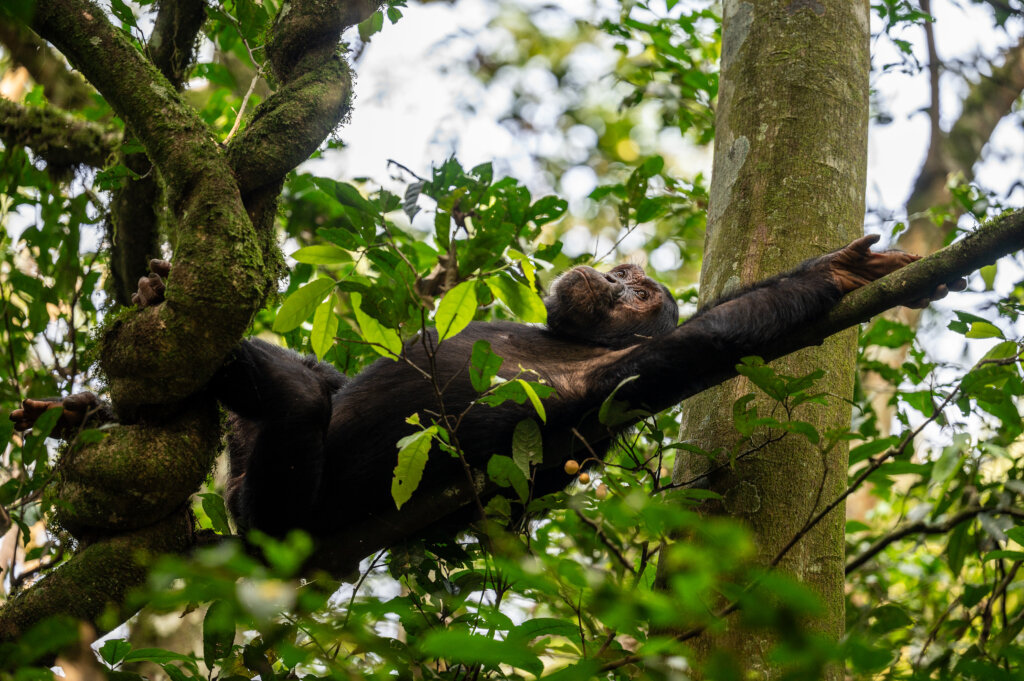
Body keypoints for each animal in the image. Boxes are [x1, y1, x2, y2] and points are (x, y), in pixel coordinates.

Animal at [8, 233, 958, 552]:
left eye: (636, 286)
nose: (611, 275)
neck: (570, 338)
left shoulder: (613, 381)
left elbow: (713, 339)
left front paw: (830, 274)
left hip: (278, 520)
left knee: (296, 415)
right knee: (303, 388)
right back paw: (93, 403)